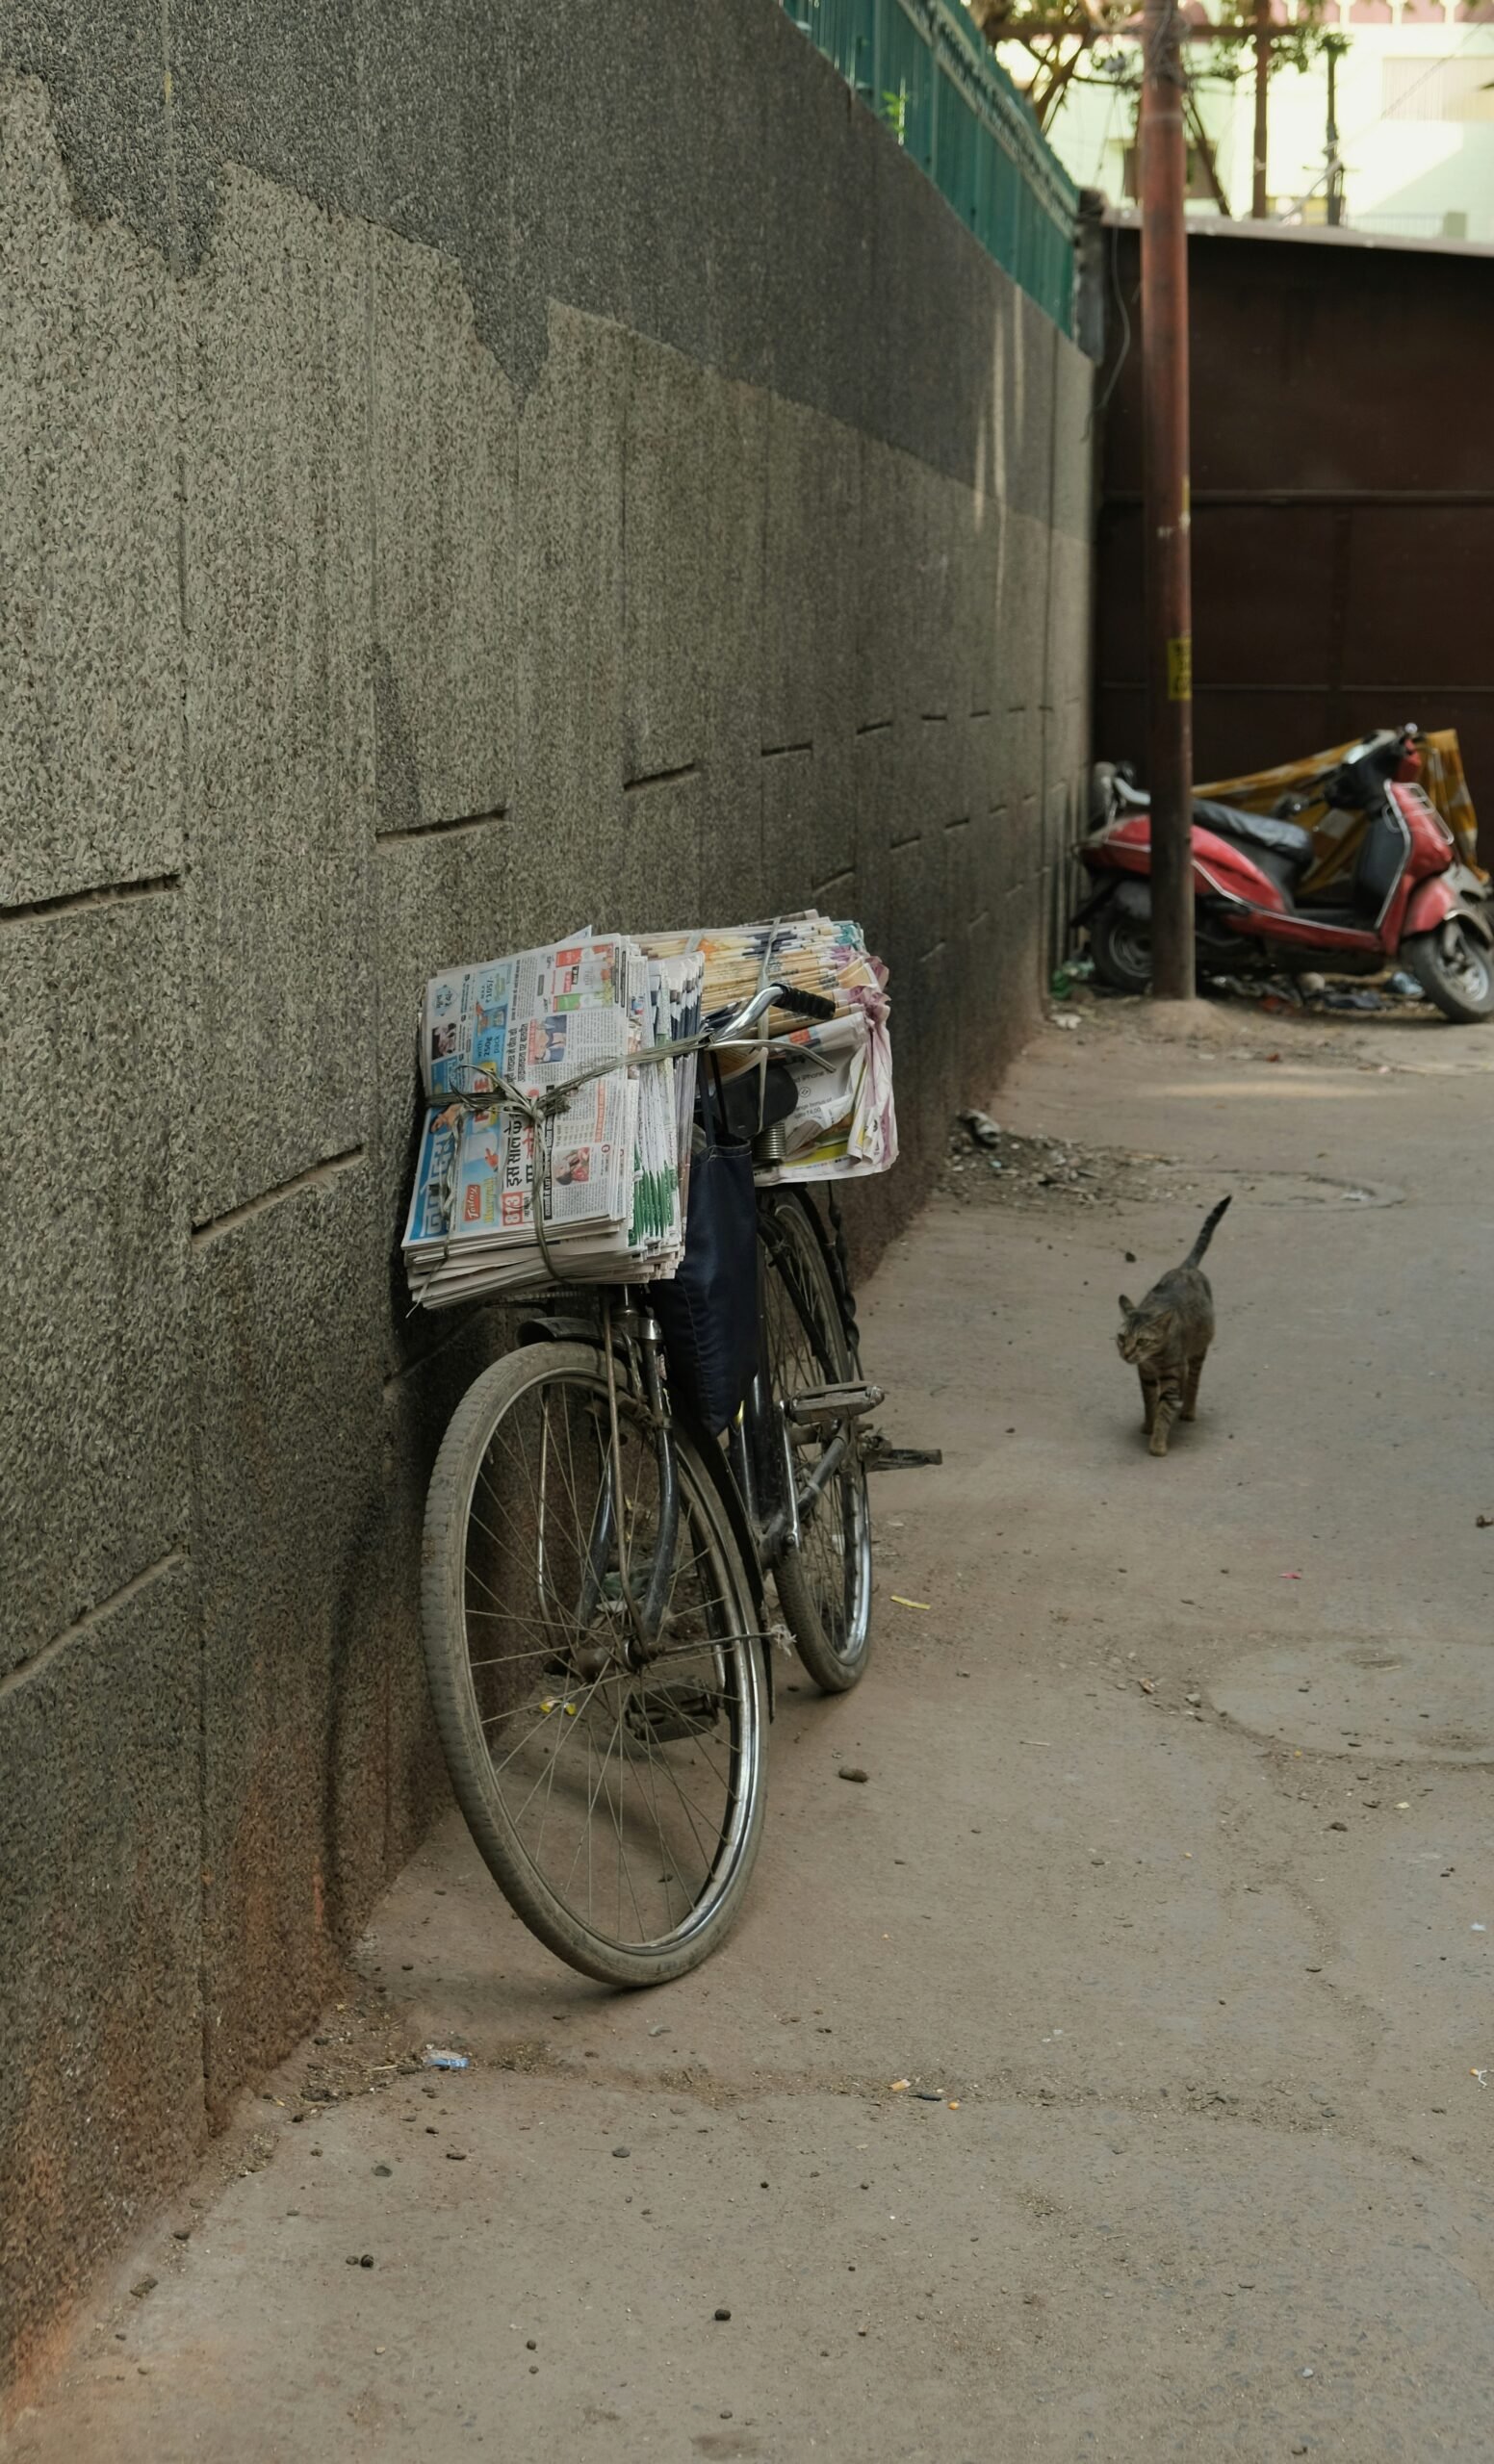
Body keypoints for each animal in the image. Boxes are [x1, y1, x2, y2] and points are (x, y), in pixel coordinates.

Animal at [1119, 1197, 1237, 1449]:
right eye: (1122, 1338)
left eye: (1142, 1341)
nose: (1126, 1353)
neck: (1154, 1359)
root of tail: (1186, 1267)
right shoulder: (1145, 1375)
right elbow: (1149, 1403)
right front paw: (1148, 1426)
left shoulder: (1170, 1375)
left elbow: (1164, 1409)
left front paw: (1157, 1444)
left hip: (1199, 1349)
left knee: (1193, 1379)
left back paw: (1188, 1409)